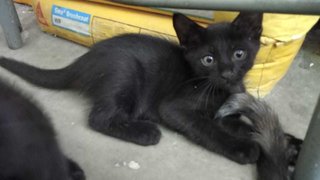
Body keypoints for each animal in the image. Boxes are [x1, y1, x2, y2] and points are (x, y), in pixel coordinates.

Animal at [0, 12, 262, 165]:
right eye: (208, 59)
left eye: (239, 54)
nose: (227, 73)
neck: (217, 89)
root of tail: (84, 59)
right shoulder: (173, 107)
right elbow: (207, 127)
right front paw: (242, 148)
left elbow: (237, 123)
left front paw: (261, 135)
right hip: (124, 72)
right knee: (99, 118)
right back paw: (144, 131)